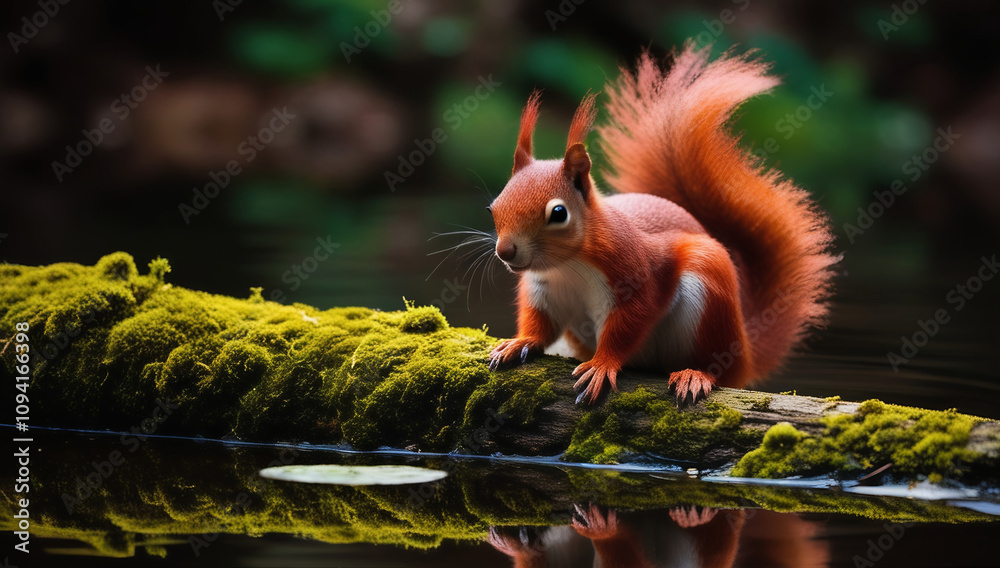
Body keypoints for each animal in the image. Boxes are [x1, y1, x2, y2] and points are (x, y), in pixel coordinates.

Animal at [486, 44, 838, 404]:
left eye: (558, 213)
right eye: (493, 207)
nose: (506, 251)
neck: (567, 265)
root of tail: (745, 352)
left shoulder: (635, 271)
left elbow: (630, 323)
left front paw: (601, 364)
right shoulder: (543, 290)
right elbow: (541, 325)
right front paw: (520, 342)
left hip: (709, 291)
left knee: (717, 365)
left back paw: (695, 374)